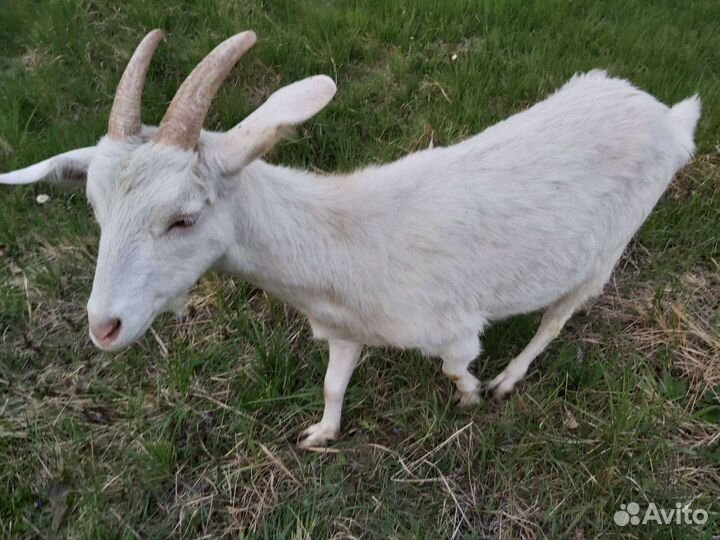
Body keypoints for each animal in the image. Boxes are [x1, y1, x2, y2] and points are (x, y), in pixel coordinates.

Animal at [0, 30, 700, 448]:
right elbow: (334, 383)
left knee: (558, 316)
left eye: (184, 217)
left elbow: (455, 364)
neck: (339, 242)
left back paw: (508, 379)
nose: (103, 328)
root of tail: (668, 116)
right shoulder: (342, 329)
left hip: (606, 250)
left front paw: (473, 395)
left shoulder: (452, 326)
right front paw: (320, 434)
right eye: (94, 208)